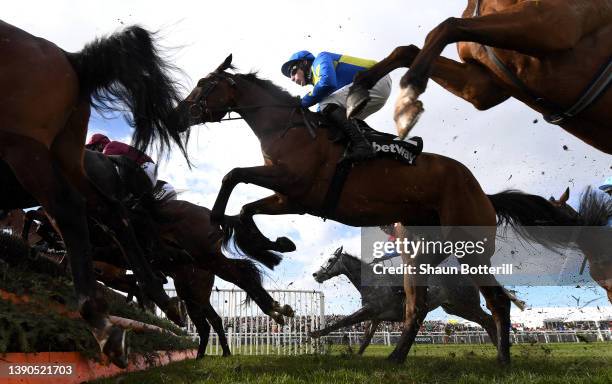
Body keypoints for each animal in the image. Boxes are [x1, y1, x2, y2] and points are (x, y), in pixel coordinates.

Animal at [0, 22, 188, 368]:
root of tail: (72, 58)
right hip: (65, 157)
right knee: (111, 215)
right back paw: (161, 301)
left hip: (24, 145)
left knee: (69, 208)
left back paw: (103, 324)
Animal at [173, 56, 580, 364]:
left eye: (205, 83)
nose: (178, 113)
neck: (289, 128)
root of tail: (483, 191)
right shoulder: (292, 198)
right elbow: (244, 206)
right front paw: (274, 245)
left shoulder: (292, 184)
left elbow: (233, 176)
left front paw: (222, 223)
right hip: (420, 252)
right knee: (417, 305)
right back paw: (396, 358)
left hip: (470, 247)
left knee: (496, 301)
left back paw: (503, 359)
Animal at [346, 0, 608, 153]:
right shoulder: (483, 85)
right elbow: (409, 49)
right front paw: (358, 90)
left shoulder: (554, 24)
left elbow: (447, 25)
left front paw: (405, 104)